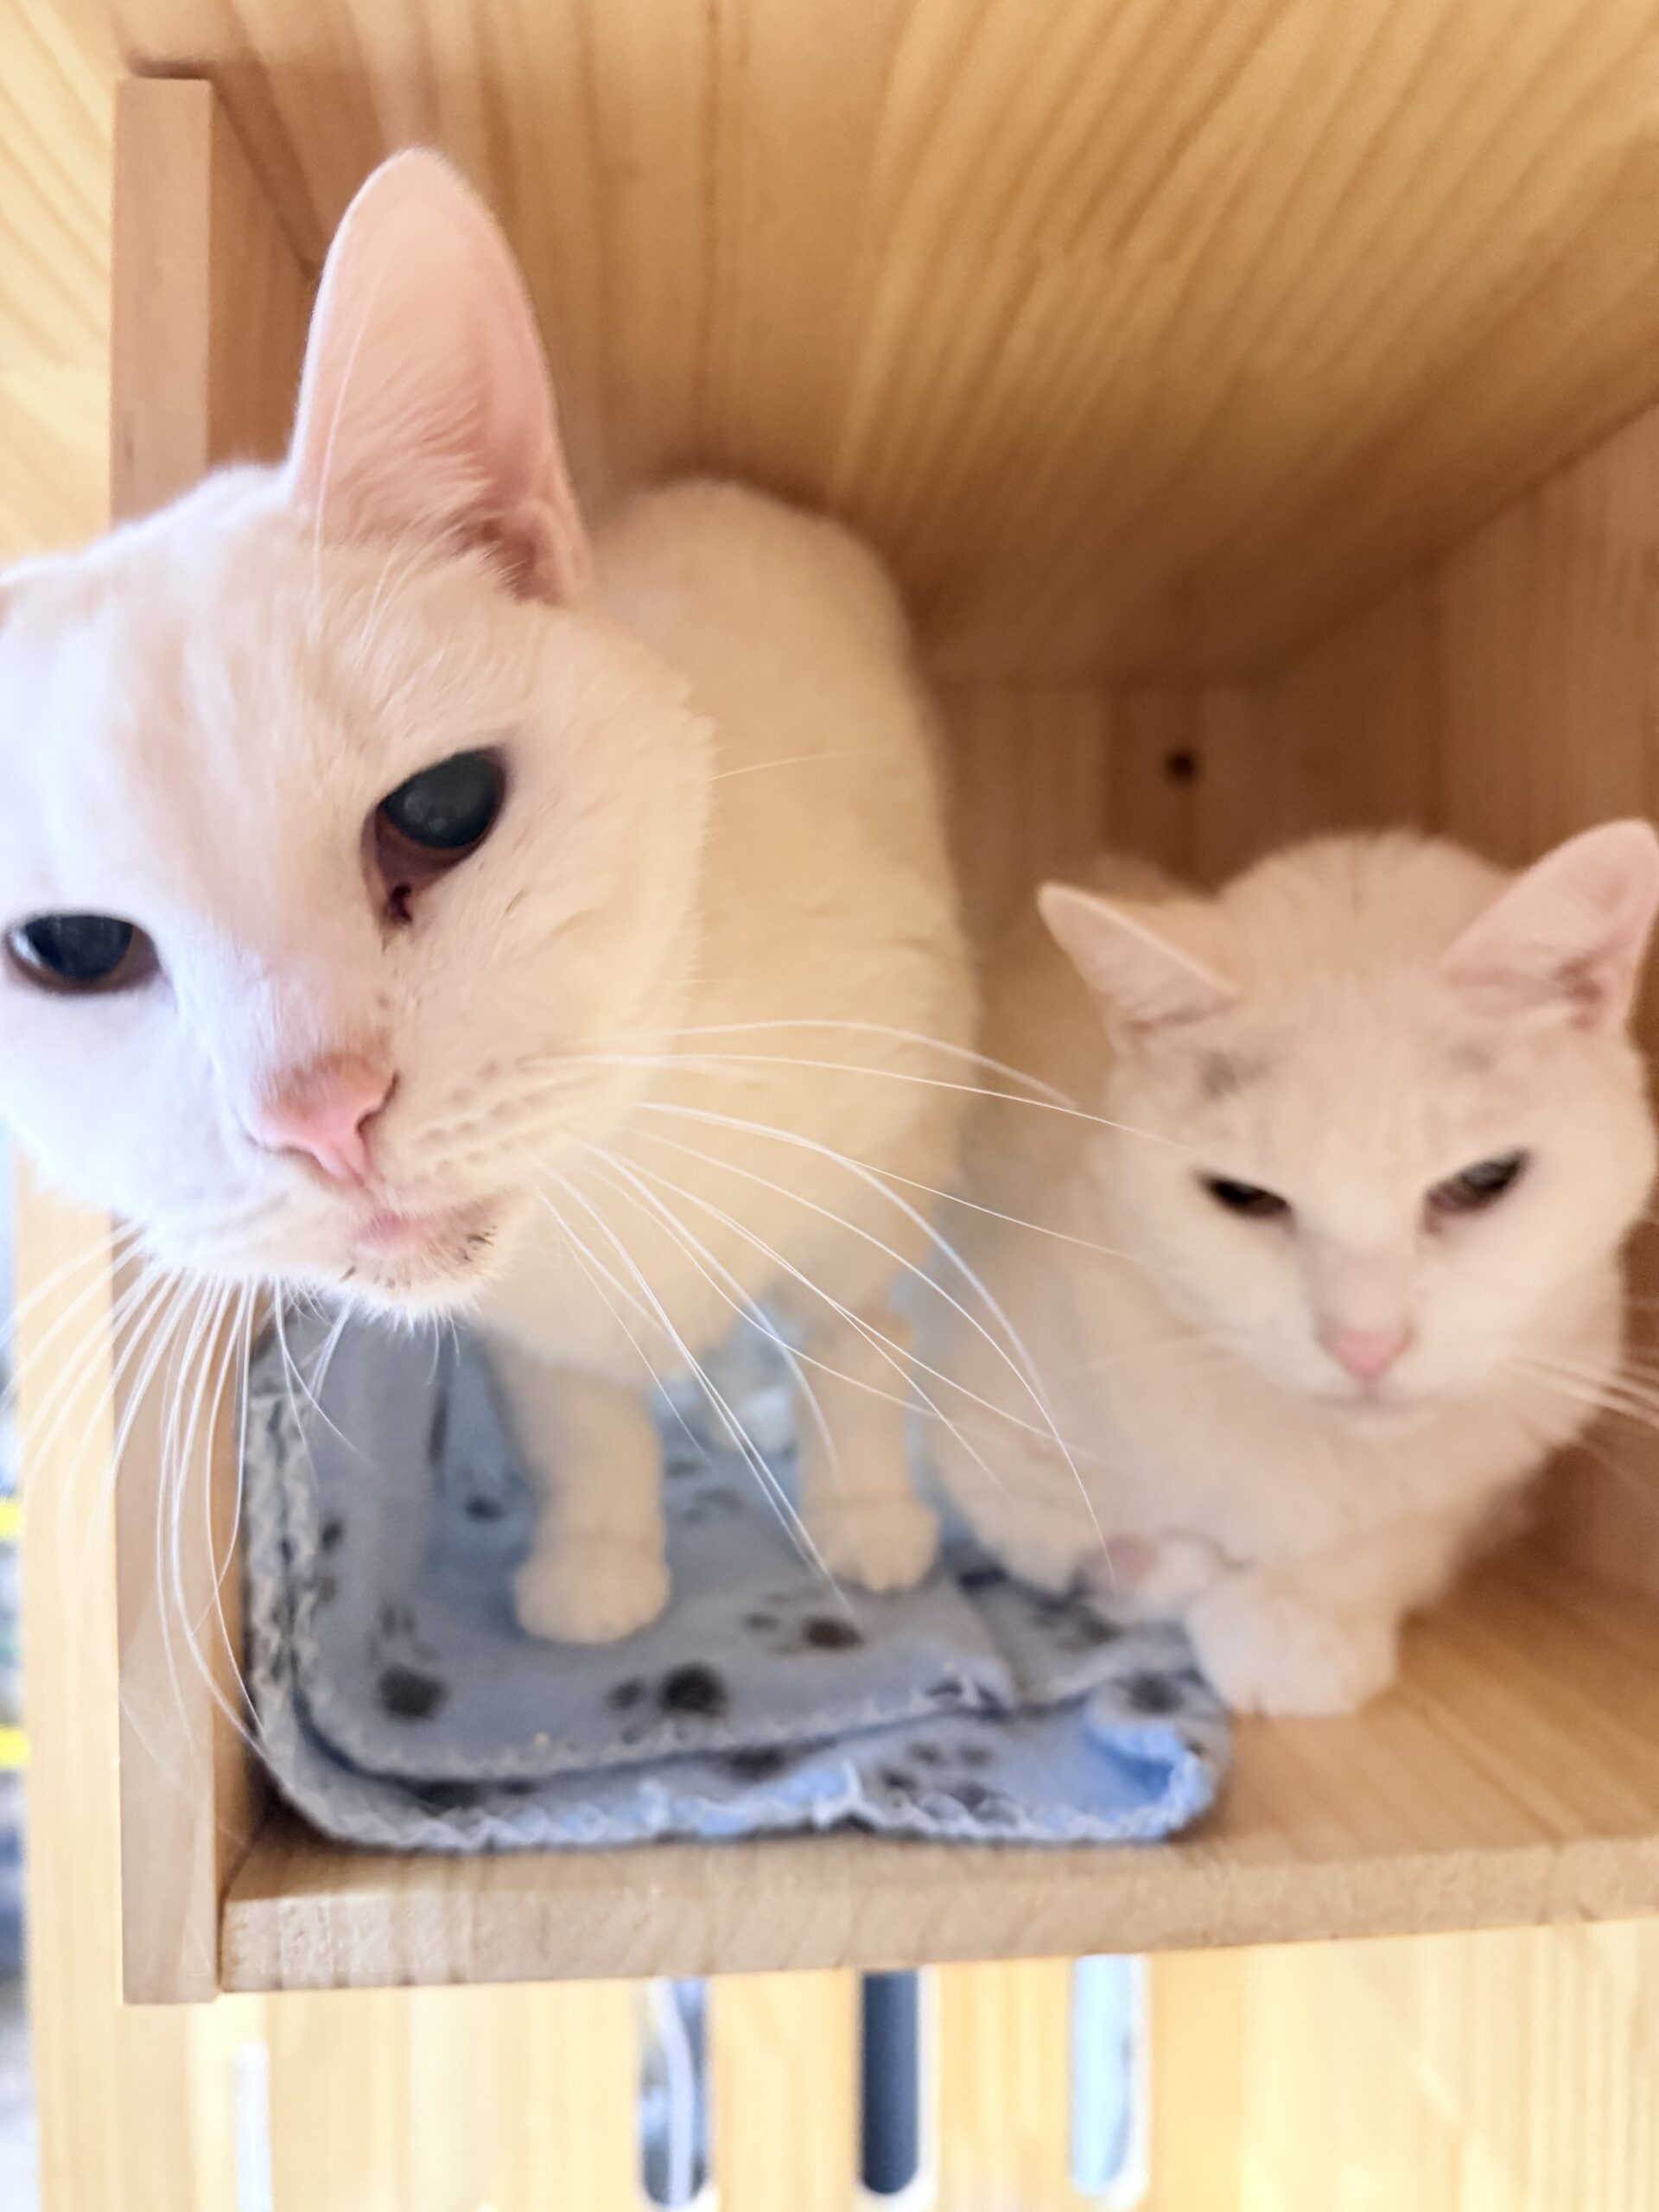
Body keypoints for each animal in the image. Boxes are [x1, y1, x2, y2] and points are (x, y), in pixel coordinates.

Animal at [0, 150, 973, 1643]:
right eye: (72, 948)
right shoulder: (528, 1333)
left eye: (444, 810)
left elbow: (856, 1349)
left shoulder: (885, 1163)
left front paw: (866, 1522)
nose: (319, 1118)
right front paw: (598, 1568)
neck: (618, 1164)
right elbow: (582, 1424)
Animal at [922, 825, 1659, 1714]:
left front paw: (1297, 1616)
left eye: (1483, 1180)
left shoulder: (1501, 1458)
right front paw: (1183, 1576)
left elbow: (1407, 1532)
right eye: (1245, 1197)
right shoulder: (972, 1437)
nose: (1365, 1345)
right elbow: (1091, 1537)